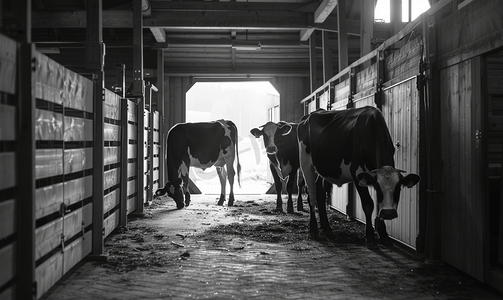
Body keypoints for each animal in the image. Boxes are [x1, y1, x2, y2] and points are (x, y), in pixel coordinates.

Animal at [300, 106, 422, 248]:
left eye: (398, 188)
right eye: (379, 189)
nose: (388, 213)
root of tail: (312, 113)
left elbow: (378, 204)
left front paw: (384, 235)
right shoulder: (357, 173)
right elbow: (368, 204)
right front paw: (369, 236)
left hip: (323, 169)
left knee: (320, 192)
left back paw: (327, 228)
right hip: (306, 163)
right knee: (311, 194)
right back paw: (313, 230)